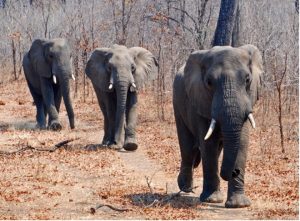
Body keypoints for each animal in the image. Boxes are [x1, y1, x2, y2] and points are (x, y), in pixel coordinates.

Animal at [172, 44, 264, 207]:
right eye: (209, 82)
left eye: (248, 80)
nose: (235, 171)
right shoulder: (200, 100)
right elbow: (209, 145)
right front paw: (213, 200)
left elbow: (242, 143)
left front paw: (239, 204)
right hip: (177, 104)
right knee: (188, 148)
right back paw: (186, 188)